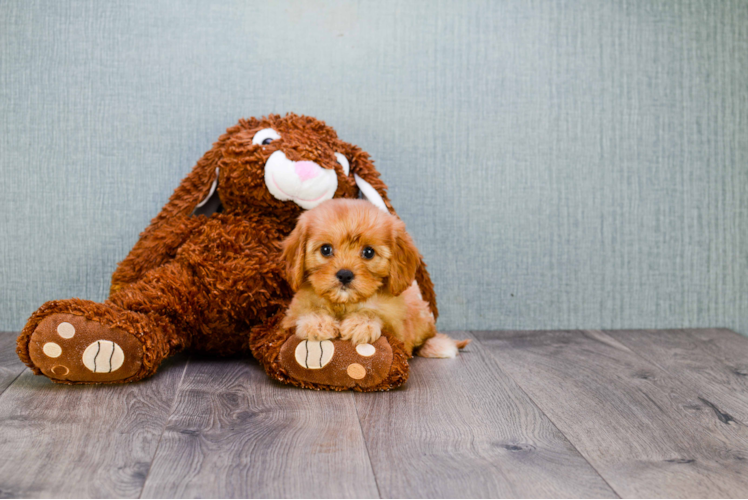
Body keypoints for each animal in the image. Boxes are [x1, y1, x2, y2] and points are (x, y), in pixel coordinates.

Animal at [280, 197, 468, 358]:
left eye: (368, 252)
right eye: (325, 249)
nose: (345, 274)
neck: (345, 303)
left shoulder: (399, 332)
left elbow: (374, 313)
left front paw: (360, 323)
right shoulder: (289, 318)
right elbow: (311, 310)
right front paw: (317, 322)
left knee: (428, 336)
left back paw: (437, 346)